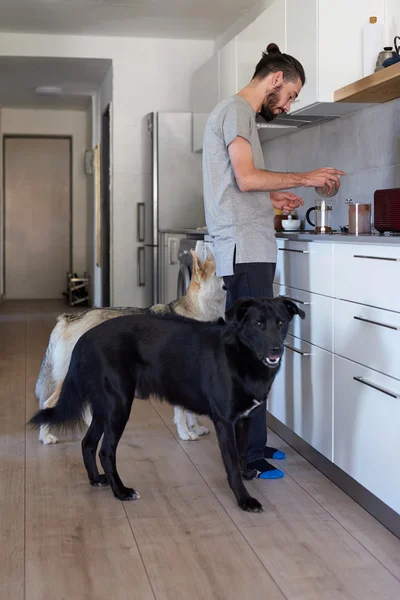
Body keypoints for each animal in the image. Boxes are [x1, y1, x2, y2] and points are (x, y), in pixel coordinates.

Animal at [29, 298, 304, 512]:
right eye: (258, 324)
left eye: (281, 322)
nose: (276, 350)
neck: (242, 355)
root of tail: (86, 337)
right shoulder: (225, 422)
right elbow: (232, 464)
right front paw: (244, 500)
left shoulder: (245, 418)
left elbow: (243, 452)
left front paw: (247, 474)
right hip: (118, 407)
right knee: (106, 451)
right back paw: (121, 491)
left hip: (104, 408)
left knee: (88, 443)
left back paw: (97, 479)